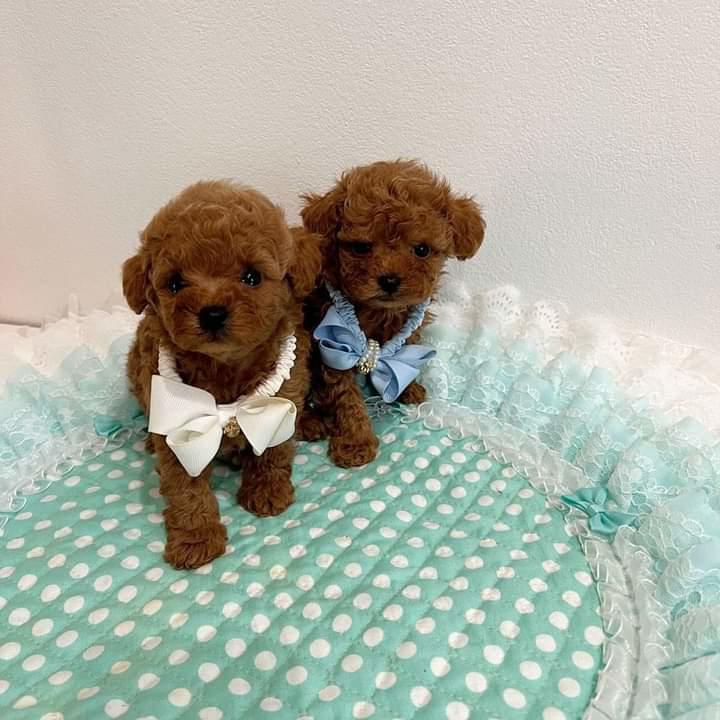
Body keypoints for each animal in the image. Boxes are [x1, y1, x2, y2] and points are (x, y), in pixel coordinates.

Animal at [122, 180, 324, 569]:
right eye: (175, 284)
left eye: (251, 277)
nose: (212, 313)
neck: (225, 368)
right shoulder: (177, 425)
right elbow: (185, 487)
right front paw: (196, 538)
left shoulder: (282, 397)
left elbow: (274, 451)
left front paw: (267, 491)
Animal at [300, 160, 485, 468]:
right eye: (361, 247)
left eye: (421, 249)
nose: (389, 280)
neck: (378, 312)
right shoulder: (335, 346)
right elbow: (347, 399)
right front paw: (356, 442)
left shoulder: (409, 326)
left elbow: (405, 353)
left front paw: (408, 388)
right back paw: (310, 422)